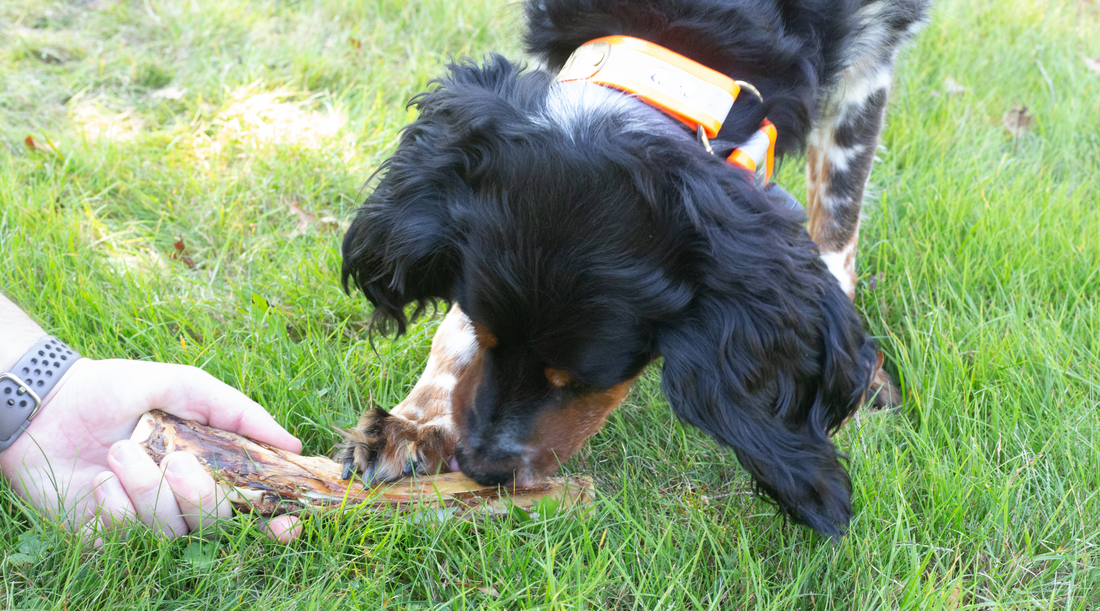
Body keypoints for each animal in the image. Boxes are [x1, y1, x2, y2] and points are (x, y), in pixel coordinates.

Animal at [338, 0, 924, 535]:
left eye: (582, 380)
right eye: (487, 335)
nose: (482, 470)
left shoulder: (872, 59)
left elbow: (837, 230)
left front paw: (859, 379)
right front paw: (419, 420)